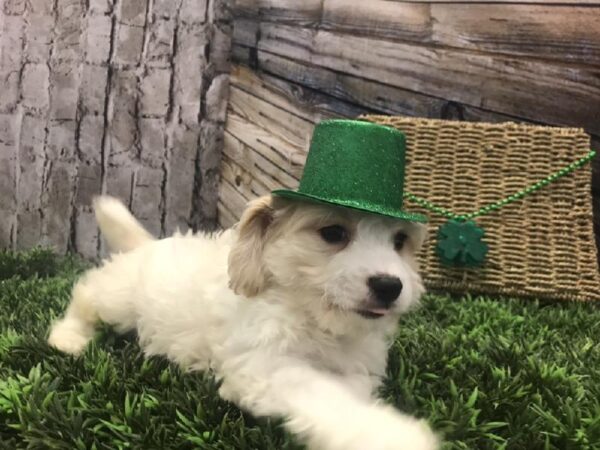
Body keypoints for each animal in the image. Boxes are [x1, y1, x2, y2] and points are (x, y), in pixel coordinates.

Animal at [49, 195, 438, 448]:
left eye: (400, 241)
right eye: (333, 233)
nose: (390, 286)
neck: (315, 320)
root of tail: (148, 244)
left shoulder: (357, 370)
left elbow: (346, 395)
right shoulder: (265, 367)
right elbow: (323, 395)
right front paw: (390, 436)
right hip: (118, 298)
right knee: (86, 292)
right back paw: (68, 337)